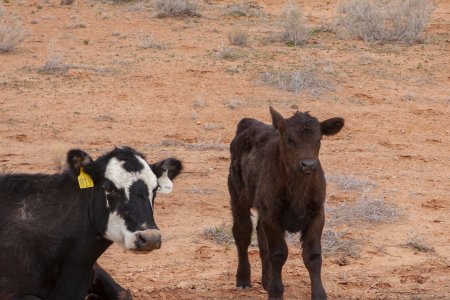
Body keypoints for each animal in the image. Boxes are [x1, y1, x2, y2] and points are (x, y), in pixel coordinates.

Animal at [229, 108, 344, 300]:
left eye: (318, 139)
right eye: (290, 139)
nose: (308, 165)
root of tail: (249, 122)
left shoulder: (317, 214)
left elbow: (313, 256)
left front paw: (319, 294)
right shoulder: (272, 215)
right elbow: (278, 253)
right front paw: (276, 293)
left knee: (261, 237)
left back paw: (266, 281)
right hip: (238, 195)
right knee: (243, 233)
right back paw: (243, 279)